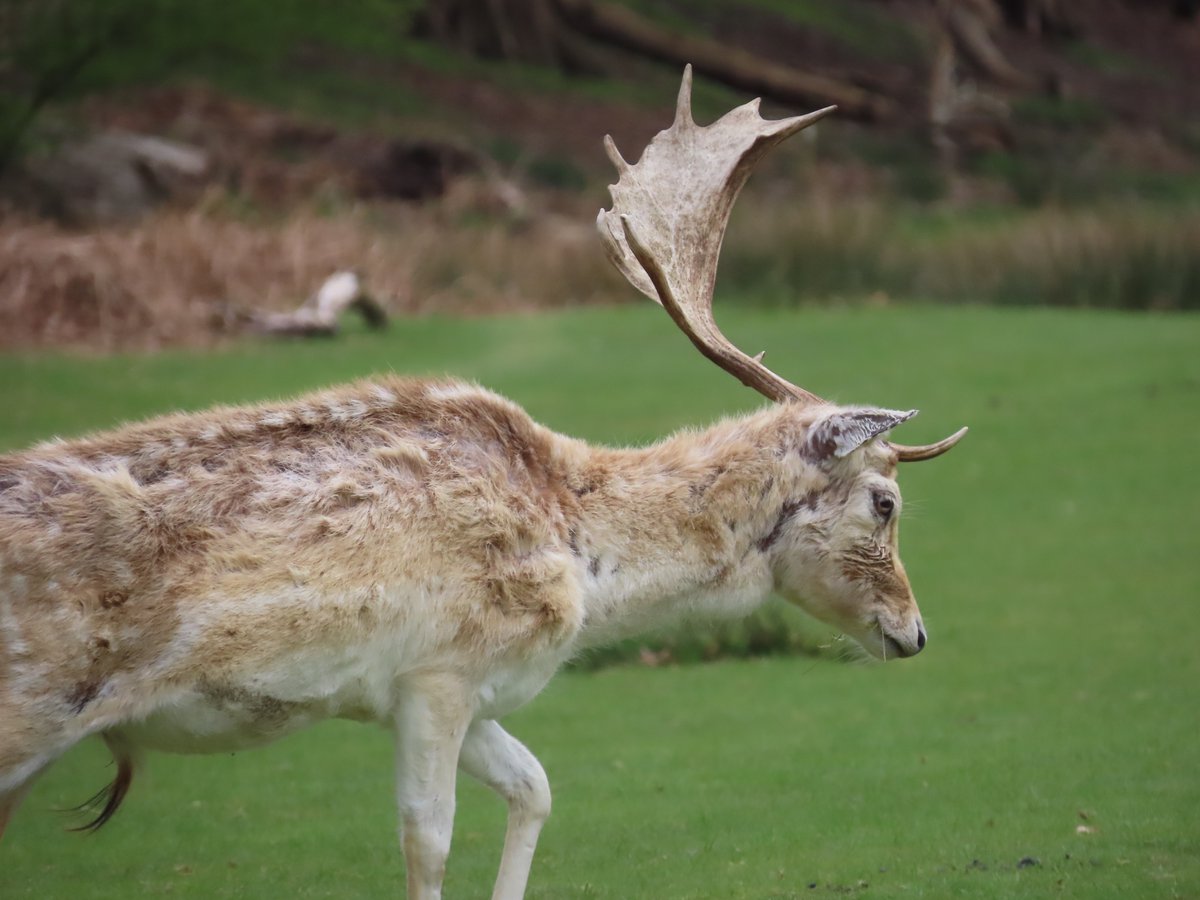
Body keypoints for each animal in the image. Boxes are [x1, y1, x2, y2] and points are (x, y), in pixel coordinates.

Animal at [0, 66, 965, 899]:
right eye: (886, 504)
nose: (915, 634)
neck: (578, 559)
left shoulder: (428, 693)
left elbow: (536, 786)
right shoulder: (438, 667)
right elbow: (428, 838)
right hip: (25, 714)